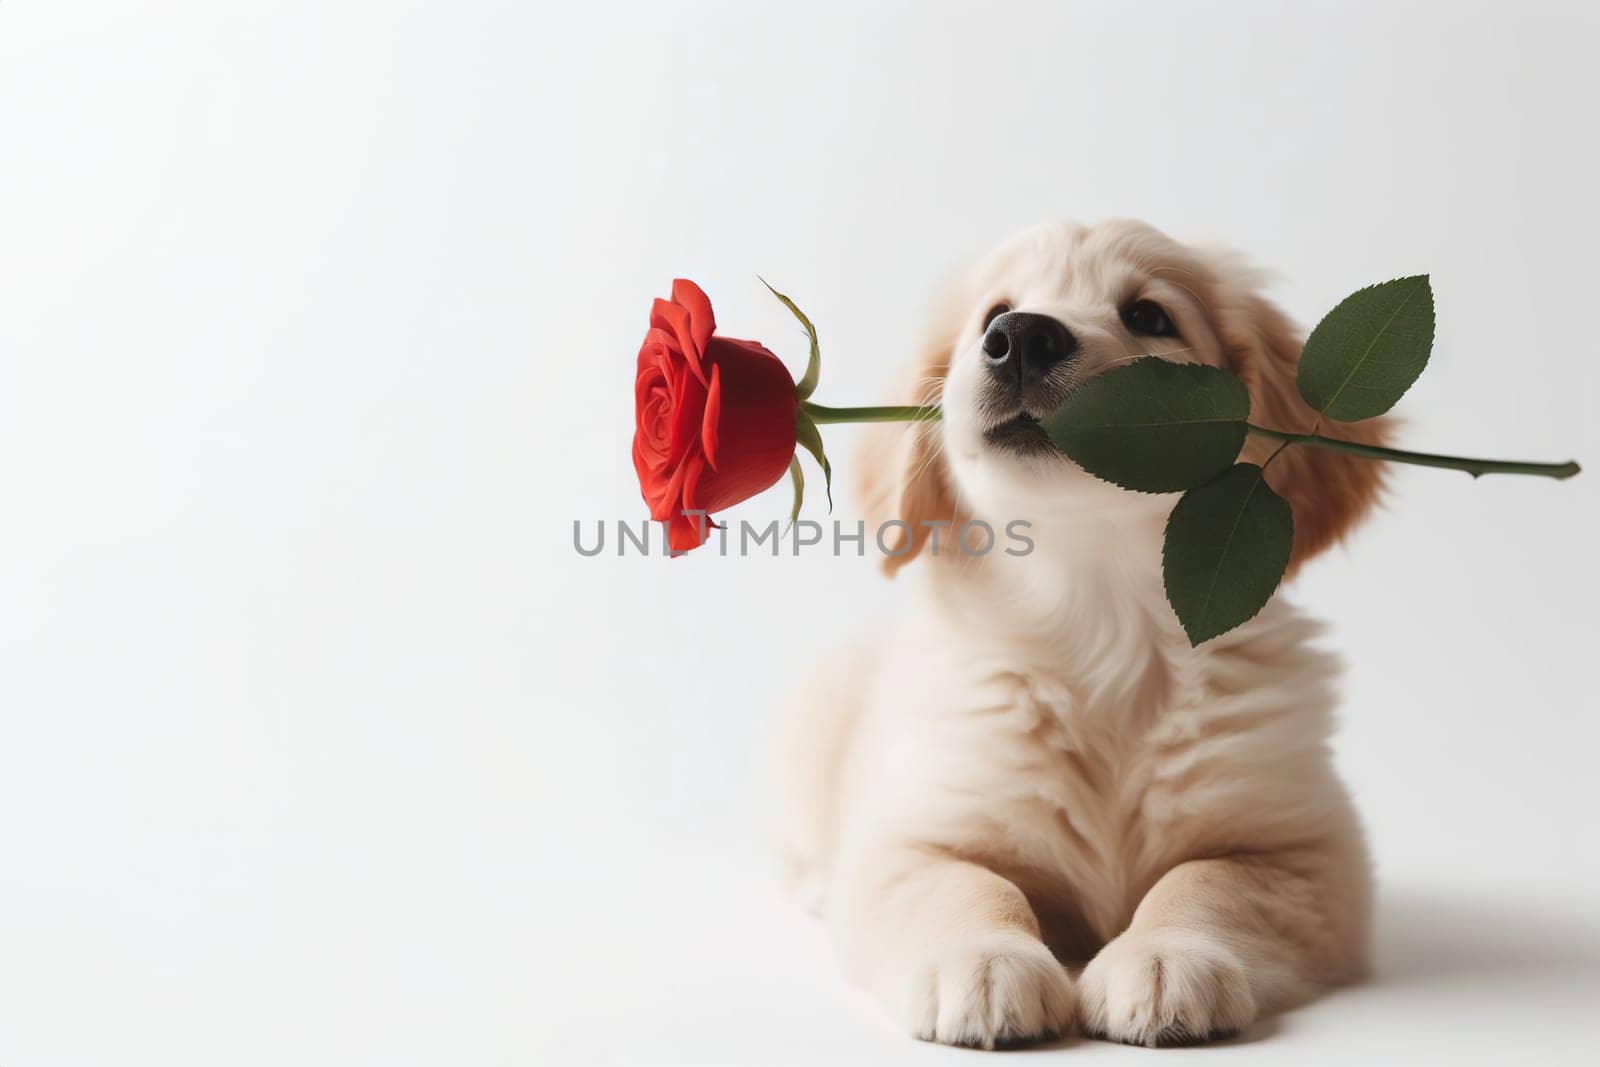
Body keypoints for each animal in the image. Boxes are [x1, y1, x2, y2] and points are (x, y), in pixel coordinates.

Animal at [761, 219, 1388, 1049]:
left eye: (1150, 316)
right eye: (994, 311)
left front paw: (1161, 957)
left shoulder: (1303, 848)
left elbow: (1206, 880)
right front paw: (984, 961)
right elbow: (967, 884)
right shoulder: (912, 834)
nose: (1021, 336)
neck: (1101, 618)